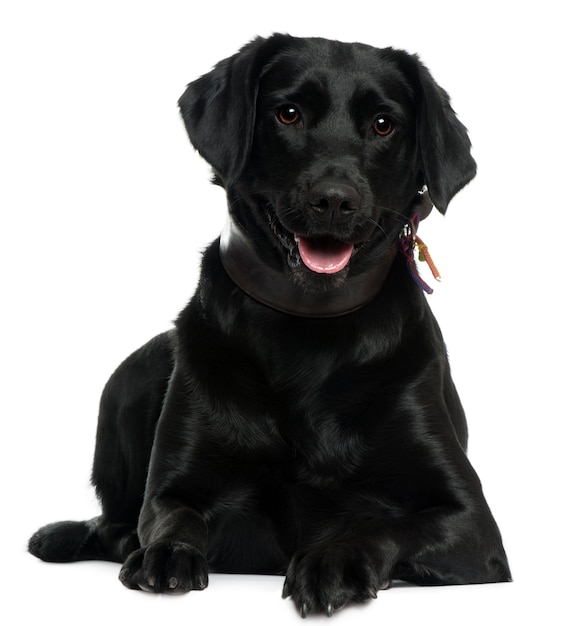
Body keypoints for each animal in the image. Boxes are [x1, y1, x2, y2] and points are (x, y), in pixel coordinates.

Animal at [29, 34, 510, 616]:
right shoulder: (173, 489)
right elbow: (171, 517)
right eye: (288, 113)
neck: (309, 322)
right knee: (111, 521)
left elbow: (382, 524)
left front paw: (332, 561)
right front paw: (166, 554)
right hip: (133, 373)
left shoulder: (472, 522)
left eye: (383, 124)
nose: (334, 200)